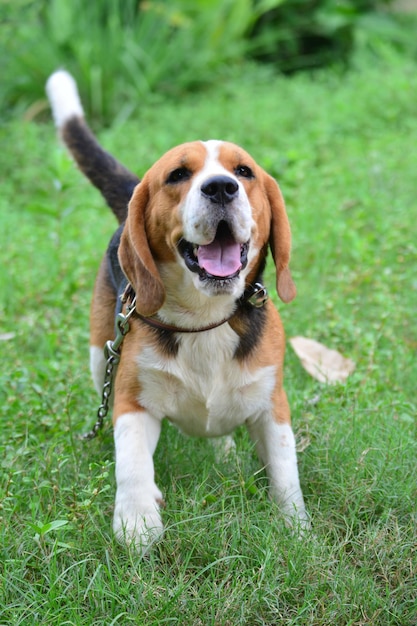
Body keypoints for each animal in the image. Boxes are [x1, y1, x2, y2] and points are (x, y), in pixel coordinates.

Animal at [46, 70, 308, 552]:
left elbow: (285, 471)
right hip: (99, 354)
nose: (221, 187)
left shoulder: (272, 404)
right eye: (178, 175)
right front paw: (136, 523)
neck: (205, 319)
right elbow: (131, 463)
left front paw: (296, 527)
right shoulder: (131, 400)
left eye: (244, 171)